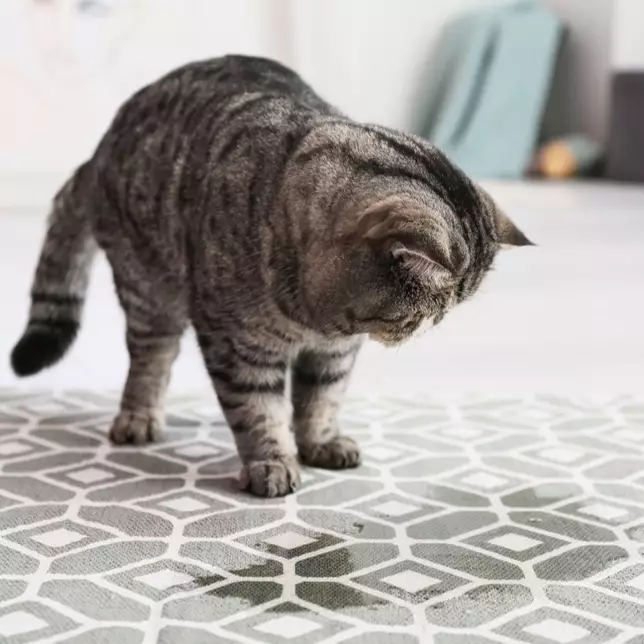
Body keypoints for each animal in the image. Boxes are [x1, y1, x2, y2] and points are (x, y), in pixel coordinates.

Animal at [11, 55, 532, 498]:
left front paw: (321, 443)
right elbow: (258, 411)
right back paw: (138, 418)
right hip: (148, 293)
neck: (316, 317)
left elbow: (322, 400)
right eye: (422, 314)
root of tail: (99, 149)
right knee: (150, 362)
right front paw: (272, 463)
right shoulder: (238, 346)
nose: (430, 327)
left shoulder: (335, 353)